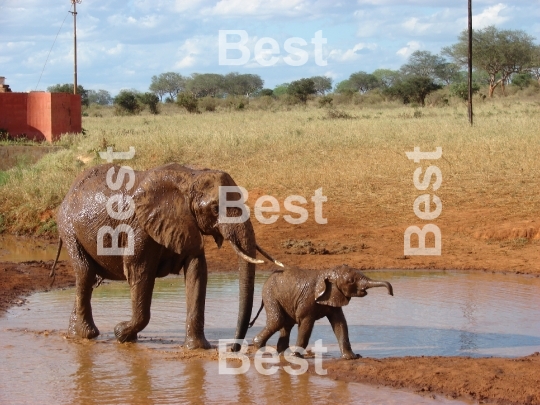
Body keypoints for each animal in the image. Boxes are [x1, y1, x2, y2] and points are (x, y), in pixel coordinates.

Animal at [51, 163, 282, 348]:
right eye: (216, 209)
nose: (234, 348)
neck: (191, 176)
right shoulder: (139, 227)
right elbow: (139, 272)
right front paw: (120, 332)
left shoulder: (187, 225)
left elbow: (197, 273)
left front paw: (198, 348)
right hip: (68, 227)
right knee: (85, 273)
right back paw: (86, 335)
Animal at [249, 264, 392, 358]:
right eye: (351, 281)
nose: (391, 293)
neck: (327, 273)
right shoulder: (308, 300)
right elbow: (306, 325)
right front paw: (297, 356)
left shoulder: (334, 296)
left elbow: (340, 324)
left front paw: (352, 357)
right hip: (270, 294)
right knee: (277, 321)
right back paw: (260, 347)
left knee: (286, 324)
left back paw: (283, 353)